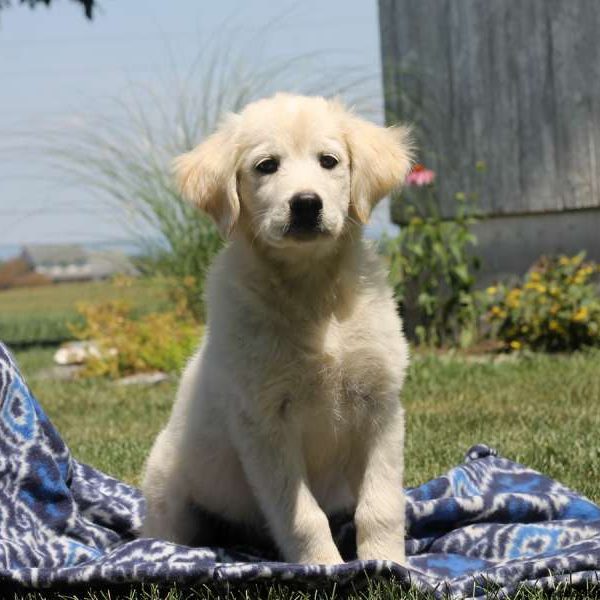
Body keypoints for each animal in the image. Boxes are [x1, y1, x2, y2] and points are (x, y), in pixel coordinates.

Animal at [141, 91, 412, 564]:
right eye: (266, 165)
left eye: (329, 161)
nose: (305, 203)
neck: (312, 294)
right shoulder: (264, 423)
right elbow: (302, 516)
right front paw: (324, 567)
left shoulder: (381, 408)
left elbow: (381, 504)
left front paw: (387, 562)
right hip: (165, 488)